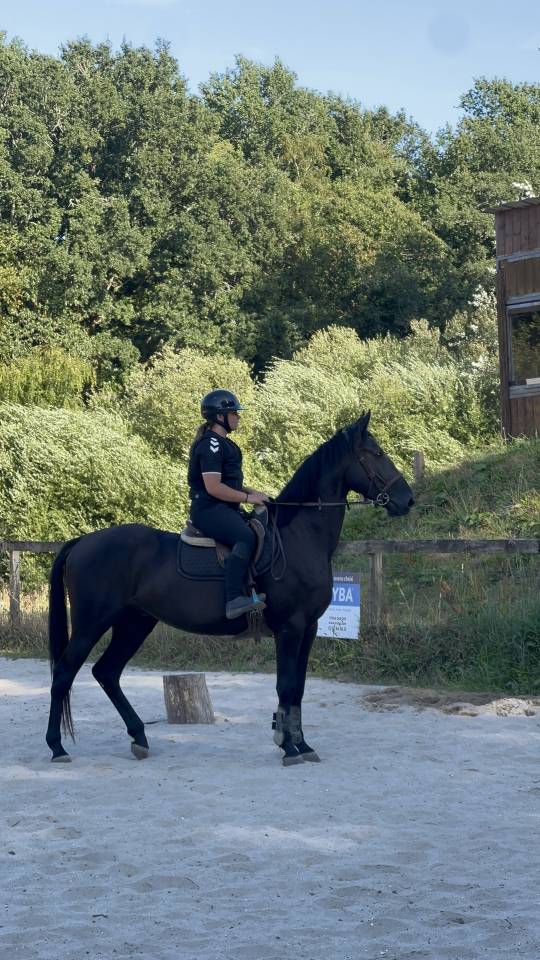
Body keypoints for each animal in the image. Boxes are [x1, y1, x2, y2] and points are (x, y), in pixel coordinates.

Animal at [46, 410, 414, 766]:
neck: (298, 538)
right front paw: (288, 747)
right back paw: (57, 747)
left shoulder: (308, 628)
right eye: (376, 454)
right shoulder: (290, 627)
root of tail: (82, 542)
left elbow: (298, 689)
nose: (407, 499)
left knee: (107, 672)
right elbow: (286, 685)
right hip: (92, 624)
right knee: (64, 673)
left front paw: (302, 743)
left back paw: (138, 737)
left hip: (135, 622)